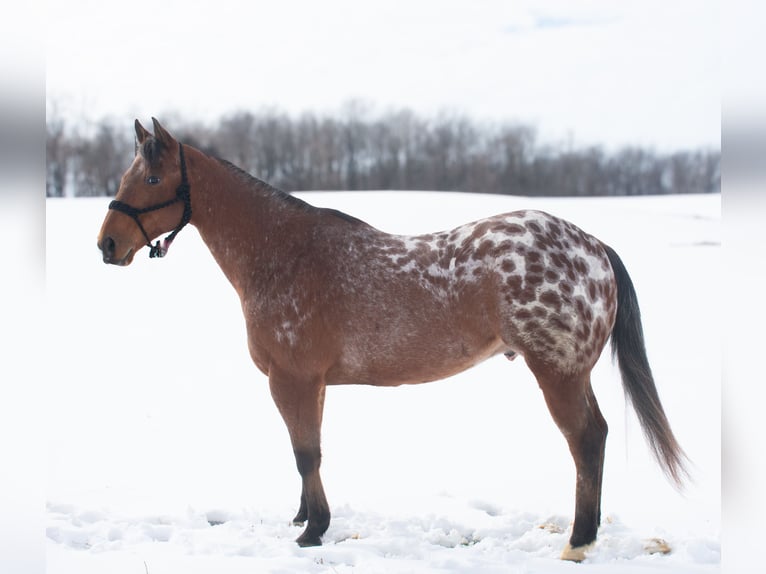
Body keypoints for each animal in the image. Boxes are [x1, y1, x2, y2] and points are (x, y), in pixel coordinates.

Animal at [97, 117, 688, 564]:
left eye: (153, 178)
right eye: (130, 173)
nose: (106, 245)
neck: (282, 253)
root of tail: (594, 246)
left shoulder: (292, 380)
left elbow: (305, 454)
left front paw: (313, 531)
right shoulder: (313, 384)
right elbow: (308, 453)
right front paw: (305, 517)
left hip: (557, 374)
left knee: (584, 441)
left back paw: (577, 542)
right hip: (572, 374)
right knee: (598, 436)